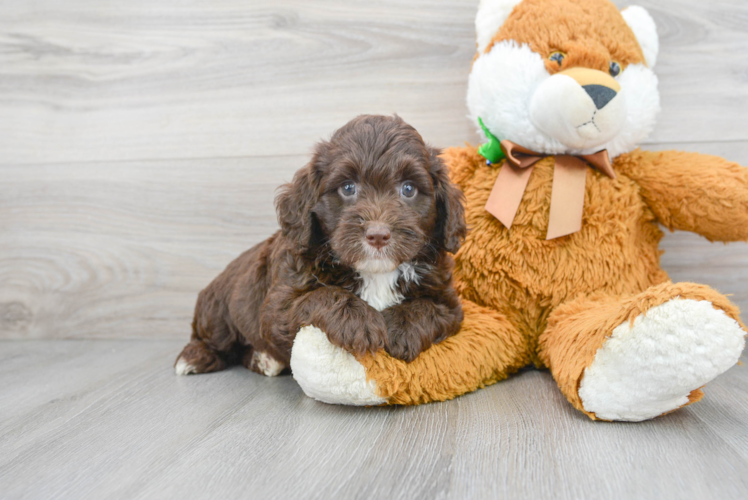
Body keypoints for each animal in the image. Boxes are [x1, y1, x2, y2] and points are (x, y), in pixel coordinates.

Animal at [176, 114, 468, 376]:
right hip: (218, 310)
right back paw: (194, 357)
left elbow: (430, 307)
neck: (375, 273)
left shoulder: (449, 303)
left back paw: (263, 360)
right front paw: (359, 321)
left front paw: (400, 327)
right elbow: (322, 295)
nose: (378, 235)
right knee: (213, 338)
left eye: (408, 189)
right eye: (348, 188)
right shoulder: (278, 305)